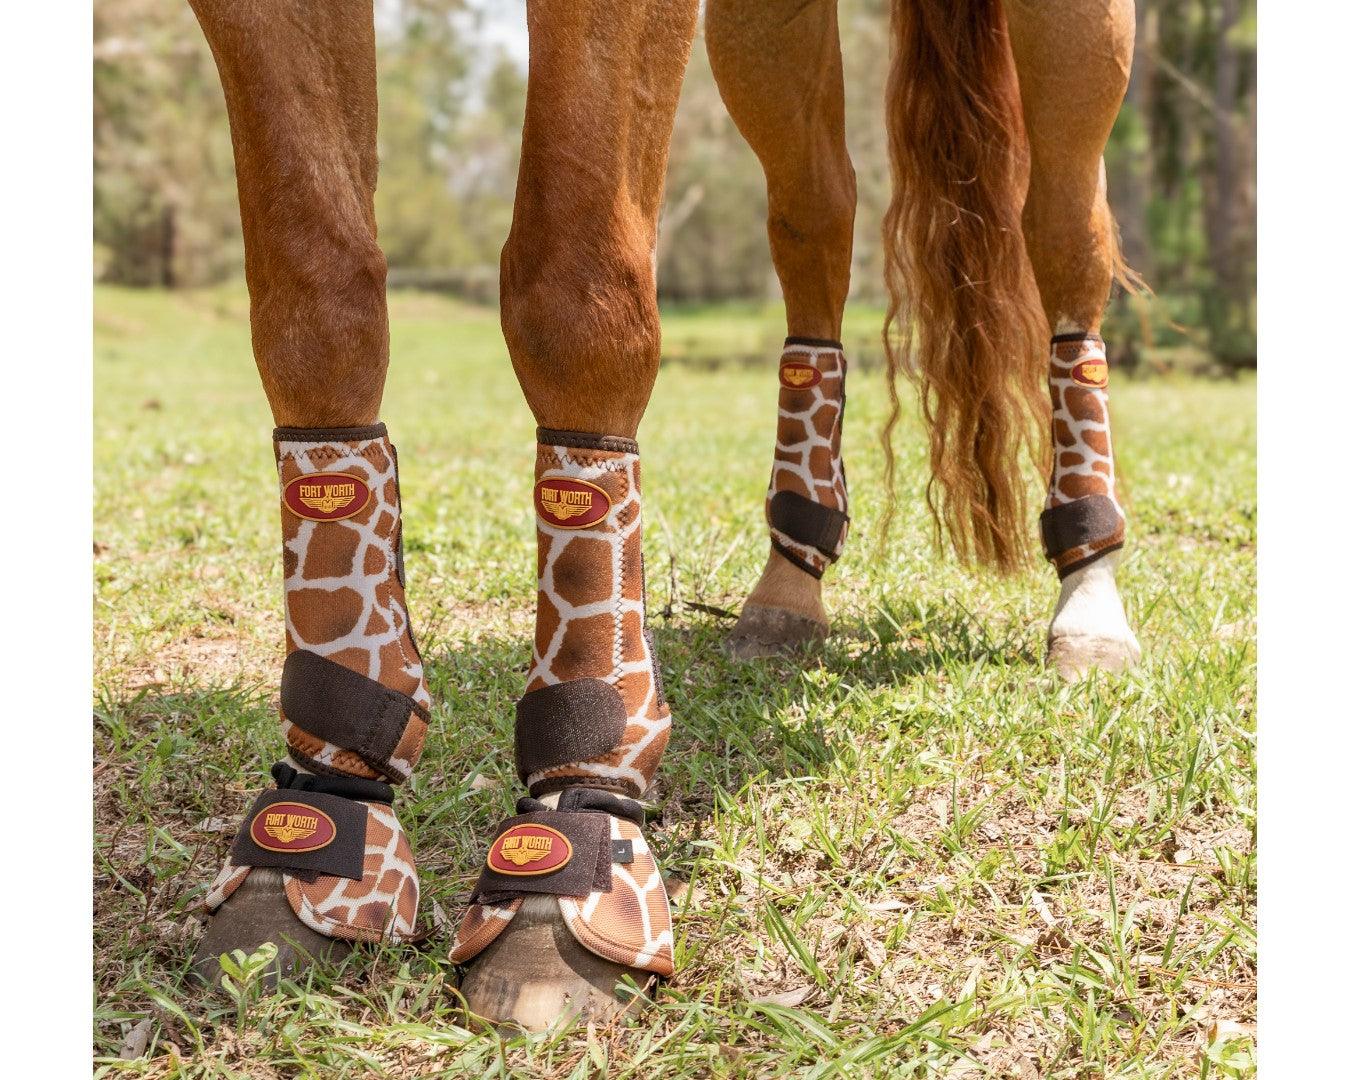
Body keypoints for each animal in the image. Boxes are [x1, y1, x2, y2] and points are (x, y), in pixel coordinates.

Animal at [184, 0, 1140, 1031]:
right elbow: (314, 297)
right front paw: (324, 823)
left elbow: (577, 296)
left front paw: (569, 845)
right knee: (816, 212)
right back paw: (790, 582)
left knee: (1065, 227)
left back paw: (1089, 585)